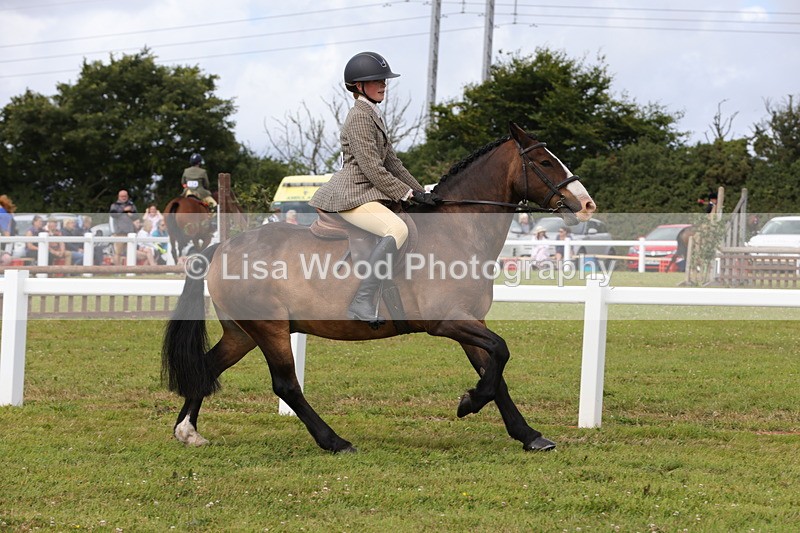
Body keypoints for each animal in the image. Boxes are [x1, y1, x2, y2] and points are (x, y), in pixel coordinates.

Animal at [161, 122, 597, 453]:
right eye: (545, 161)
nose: (588, 205)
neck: (458, 230)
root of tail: (222, 247)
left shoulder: (470, 321)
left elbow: (496, 371)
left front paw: (529, 435)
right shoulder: (447, 321)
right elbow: (501, 354)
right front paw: (468, 403)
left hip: (244, 332)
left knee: (207, 367)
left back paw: (187, 431)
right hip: (270, 330)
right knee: (286, 385)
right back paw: (335, 442)